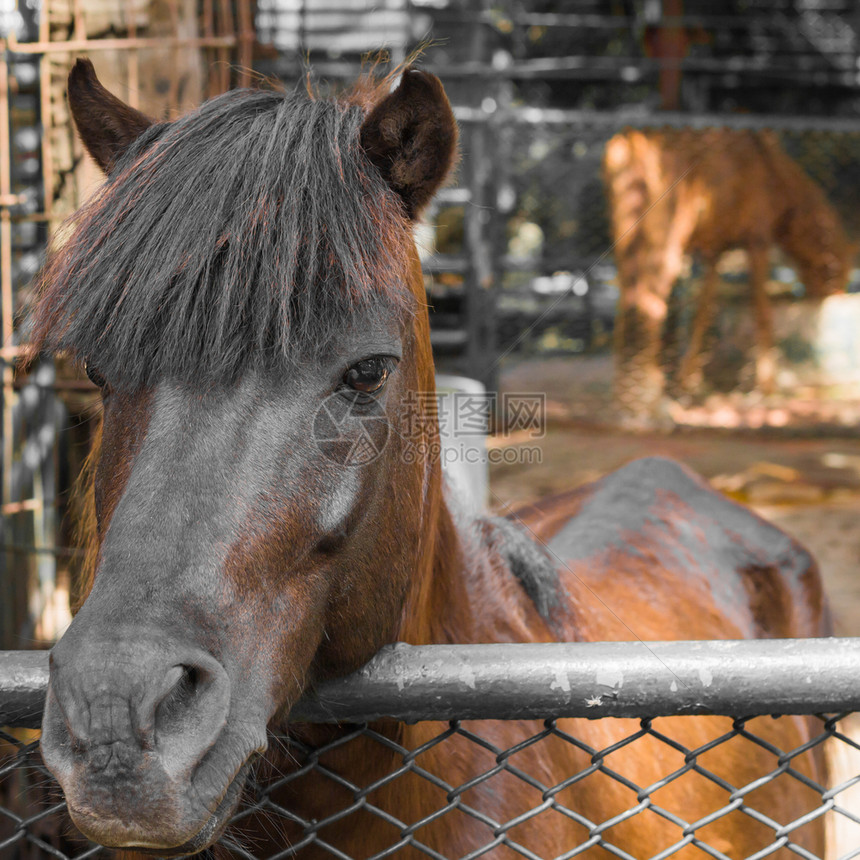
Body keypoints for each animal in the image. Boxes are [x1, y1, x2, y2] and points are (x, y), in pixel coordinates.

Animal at [600, 124, 856, 426]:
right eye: (837, 274)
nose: (835, 296)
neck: (779, 176)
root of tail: (631, 139)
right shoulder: (758, 240)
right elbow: (762, 315)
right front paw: (767, 388)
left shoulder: (714, 251)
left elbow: (702, 316)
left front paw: (686, 384)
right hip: (665, 242)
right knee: (647, 305)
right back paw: (646, 406)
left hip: (627, 238)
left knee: (629, 304)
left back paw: (631, 401)